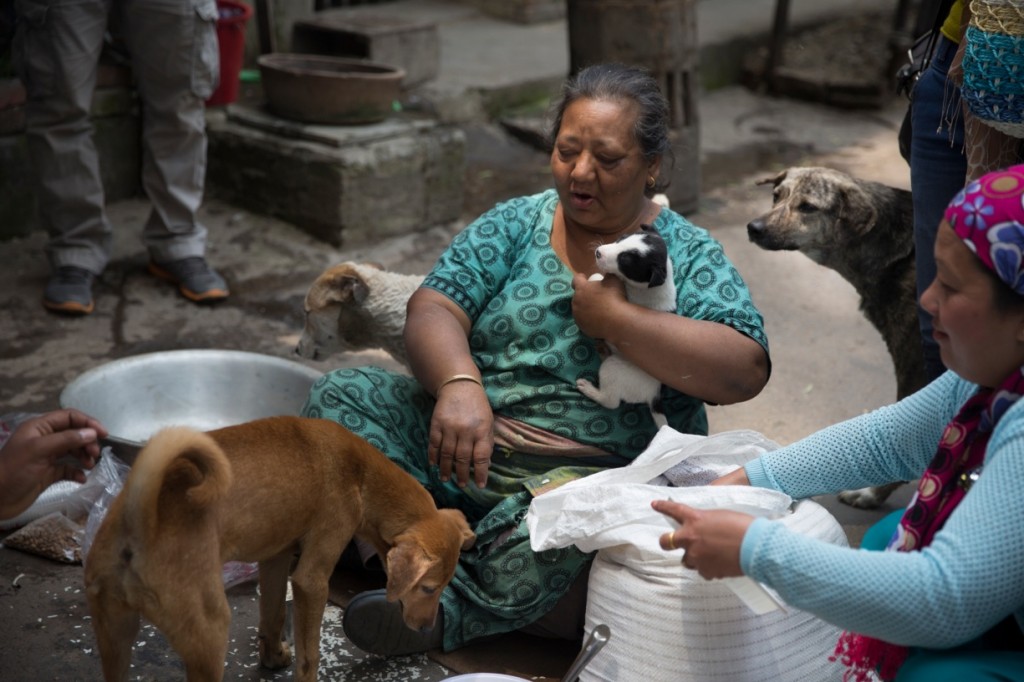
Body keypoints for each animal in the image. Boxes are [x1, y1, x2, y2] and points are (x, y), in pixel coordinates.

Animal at [83, 413, 475, 679]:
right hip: (208, 632)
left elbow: (271, 616)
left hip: (114, 633)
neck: (361, 472)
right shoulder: (311, 579)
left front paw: (272, 659)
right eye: (427, 588)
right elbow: (310, 655)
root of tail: (141, 520)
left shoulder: (275, 558)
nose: (426, 629)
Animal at [581, 223, 675, 425]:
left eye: (625, 262)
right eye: (621, 238)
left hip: (613, 369)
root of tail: (653, 396)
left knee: (610, 402)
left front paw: (593, 279)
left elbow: (594, 278)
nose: (598, 253)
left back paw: (589, 389)